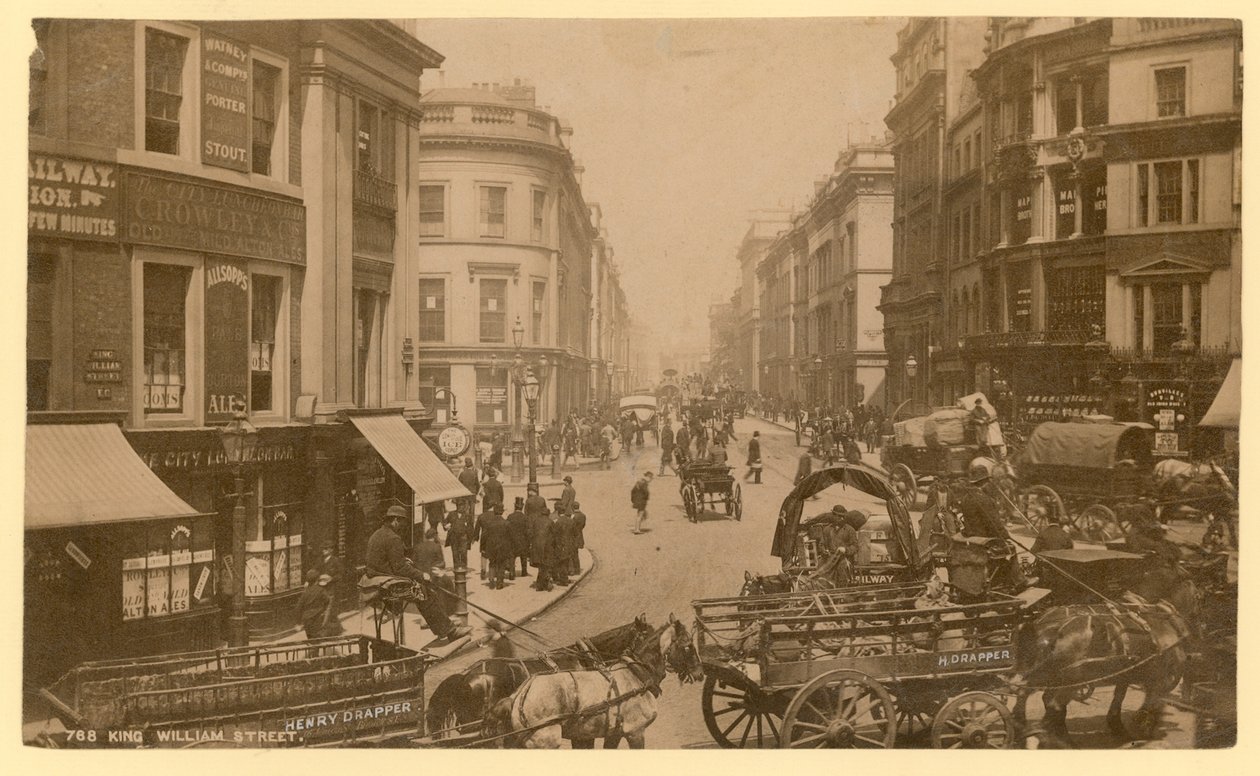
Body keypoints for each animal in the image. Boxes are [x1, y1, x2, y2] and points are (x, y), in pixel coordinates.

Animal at [481, 614, 705, 750]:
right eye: (688, 646)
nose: (700, 673)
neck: (636, 673)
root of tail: (518, 695)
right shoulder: (635, 732)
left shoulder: (613, 733)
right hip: (546, 741)